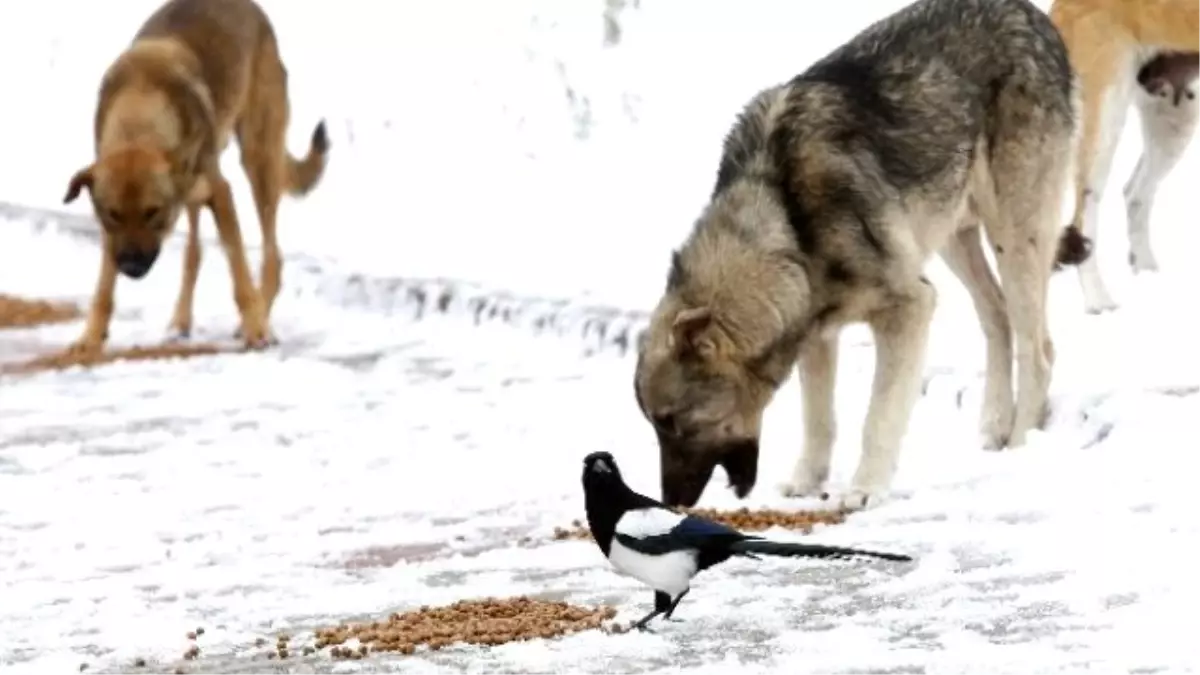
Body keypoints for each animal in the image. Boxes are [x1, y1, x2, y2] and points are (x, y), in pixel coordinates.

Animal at [61, 0, 328, 353]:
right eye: (114, 214)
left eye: (153, 213)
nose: (131, 268)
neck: (139, 117)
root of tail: (251, 8)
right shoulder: (113, 227)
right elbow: (104, 284)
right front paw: (91, 336)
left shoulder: (221, 193)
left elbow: (239, 271)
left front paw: (256, 329)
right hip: (194, 191)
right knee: (195, 252)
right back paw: (180, 322)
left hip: (258, 159)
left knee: (272, 257)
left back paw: (259, 315)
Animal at [1056, 0, 1200, 309]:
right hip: (1104, 123)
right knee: (1084, 219)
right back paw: (1099, 301)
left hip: (1173, 121)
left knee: (1135, 193)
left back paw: (1146, 274)